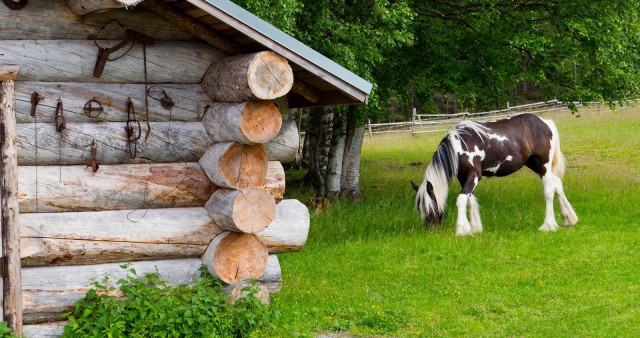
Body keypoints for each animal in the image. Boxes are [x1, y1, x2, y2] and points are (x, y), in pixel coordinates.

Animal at [412, 113, 576, 235]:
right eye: (420, 208)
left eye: (431, 207)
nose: (430, 230)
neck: (458, 146)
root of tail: (545, 123)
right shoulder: (464, 177)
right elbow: (469, 200)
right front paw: (475, 228)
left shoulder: (474, 175)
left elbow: (461, 200)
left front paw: (461, 230)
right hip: (536, 166)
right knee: (557, 184)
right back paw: (569, 219)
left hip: (543, 165)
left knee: (549, 191)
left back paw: (548, 225)